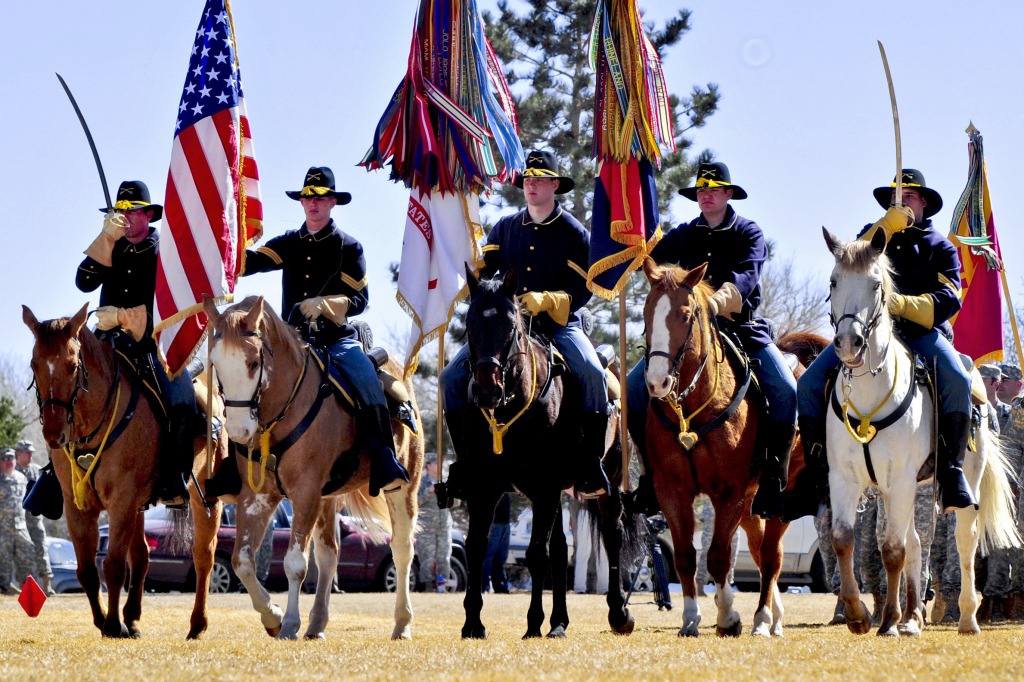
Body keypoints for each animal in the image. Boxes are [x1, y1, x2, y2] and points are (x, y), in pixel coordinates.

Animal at [23, 303, 231, 638]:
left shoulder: (121, 501)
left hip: (205, 497)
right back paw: (132, 618)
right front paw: (105, 620)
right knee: (143, 556)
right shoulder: (78, 506)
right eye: (34, 363)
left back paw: (197, 624)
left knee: (204, 555)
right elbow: (87, 570)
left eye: (72, 364)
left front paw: (111, 625)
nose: (54, 436)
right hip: (139, 506)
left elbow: (113, 566)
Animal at [203, 294, 419, 638]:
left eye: (253, 363)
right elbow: (243, 562)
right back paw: (317, 623)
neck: (280, 412)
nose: (238, 432)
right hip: (327, 498)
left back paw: (402, 623)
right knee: (329, 555)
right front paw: (273, 616)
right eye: (216, 365)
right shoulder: (257, 496)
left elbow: (295, 563)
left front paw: (290, 622)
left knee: (401, 549)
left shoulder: (304, 494)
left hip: (402, 487)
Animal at [450, 268, 638, 638]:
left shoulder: (545, 487)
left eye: (511, 326)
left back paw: (618, 613)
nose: (487, 390)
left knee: (612, 535)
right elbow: (477, 548)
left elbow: (537, 553)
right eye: (470, 323)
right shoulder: (485, 488)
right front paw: (472, 623)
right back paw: (559, 622)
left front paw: (533, 623)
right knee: (562, 548)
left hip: (606, 482)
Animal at [823, 227, 1024, 630]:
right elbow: (844, 539)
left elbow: (892, 549)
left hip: (958, 481)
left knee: (964, 539)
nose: (849, 342)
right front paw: (857, 614)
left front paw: (888, 622)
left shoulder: (899, 478)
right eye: (834, 281)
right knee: (917, 541)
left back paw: (966, 617)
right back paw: (913, 616)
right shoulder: (845, 478)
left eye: (876, 284)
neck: (870, 393)